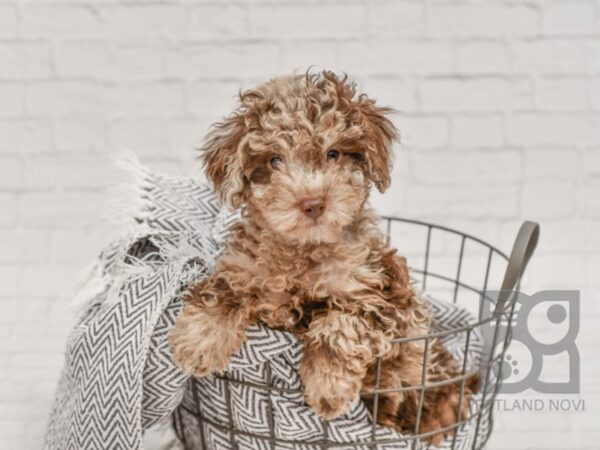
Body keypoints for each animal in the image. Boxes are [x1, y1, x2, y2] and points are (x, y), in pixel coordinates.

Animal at [169, 72, 478, 444]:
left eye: (334, 153)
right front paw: (197, 343)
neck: (304, 251)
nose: (313, 203)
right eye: (274, 160)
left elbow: (338, 326)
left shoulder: (380, 299)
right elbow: (223, 288)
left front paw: (328, 389)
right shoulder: (246, 267)